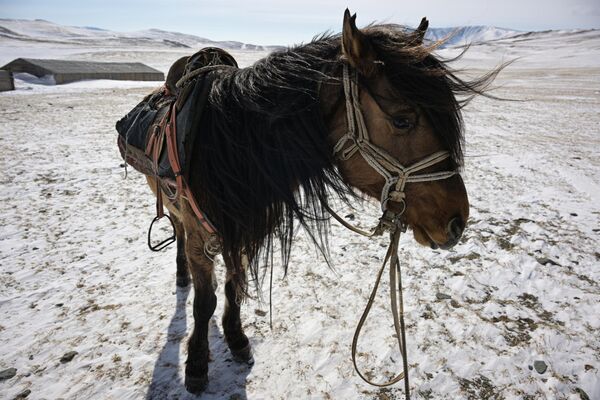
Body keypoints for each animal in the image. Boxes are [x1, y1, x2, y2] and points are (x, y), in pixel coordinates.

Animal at [117, 8, 496, 394]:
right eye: (402, 120)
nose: (456, 221)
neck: (227, 151)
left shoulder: (243, 231)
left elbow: (235, 286)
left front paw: (237, 338)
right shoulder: (201, 237)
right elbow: (204, 302)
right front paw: (195, 365)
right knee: (177, 231)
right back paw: (182, 275)